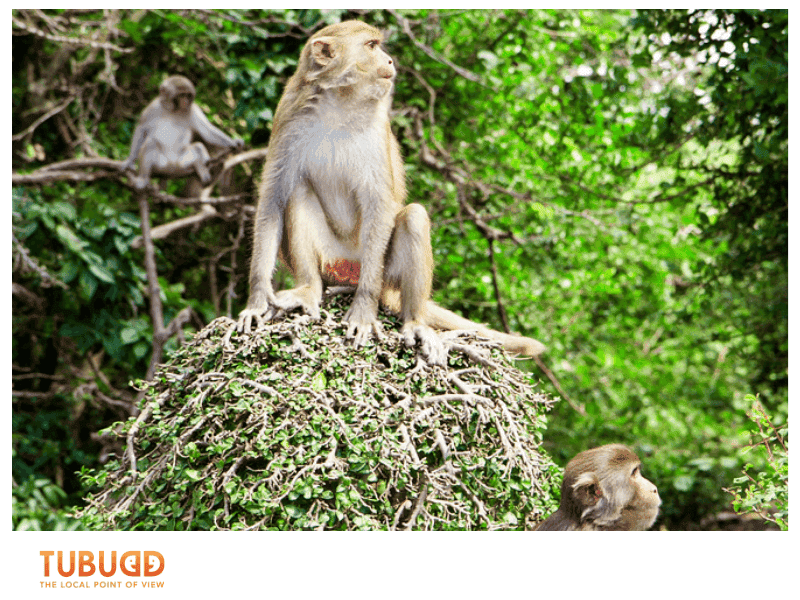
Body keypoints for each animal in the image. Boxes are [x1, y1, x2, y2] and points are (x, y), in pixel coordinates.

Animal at [237, 20, 545, 365]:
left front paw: (363, 311)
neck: (339, 105)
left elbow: (380, 205)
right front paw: (257, 301)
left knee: (413, 217)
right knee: (299, 193)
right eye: (372, 46)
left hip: (382, 272)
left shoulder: (375, 128)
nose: (389, 60)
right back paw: (308, 289)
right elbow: (273, 199)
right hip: (332, 260)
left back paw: (414, 321)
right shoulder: (288, 116)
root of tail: (348, 271)